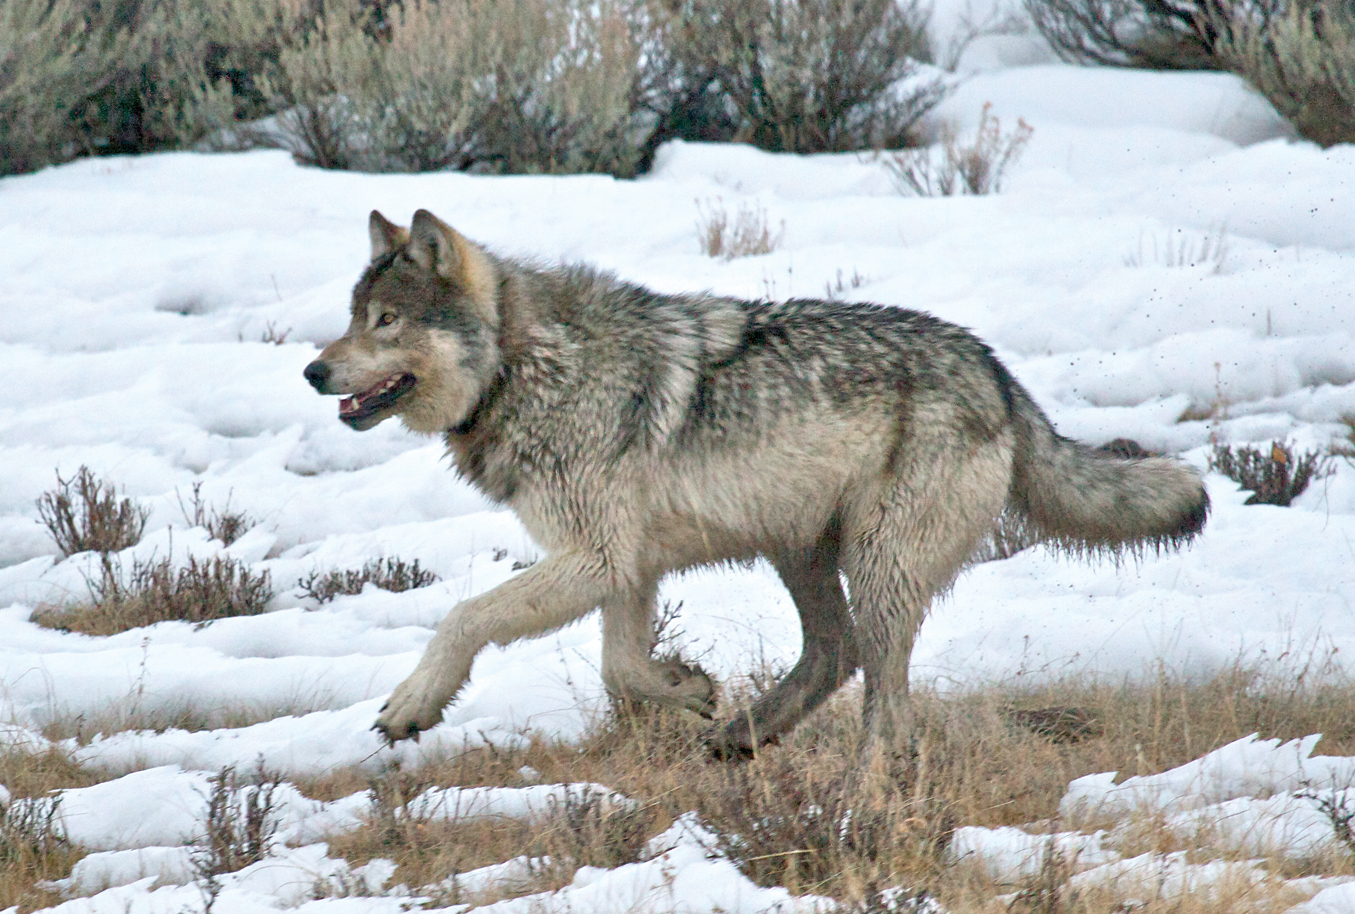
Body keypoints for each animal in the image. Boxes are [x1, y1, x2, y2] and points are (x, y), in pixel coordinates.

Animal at [304, 211, 1208, 763]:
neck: (523, 367)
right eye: (352, 319)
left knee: (883, 702)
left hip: (873, 566)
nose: (313, 372)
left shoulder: (595, 558)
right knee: (835, 653)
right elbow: (621, 669)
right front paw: (690, 688)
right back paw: (743, 736)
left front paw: (412, 705)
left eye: (386, 323)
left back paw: (858, 792)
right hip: (801, 551)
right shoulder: (625, 568)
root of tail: (994, 369)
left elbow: (463, 618)